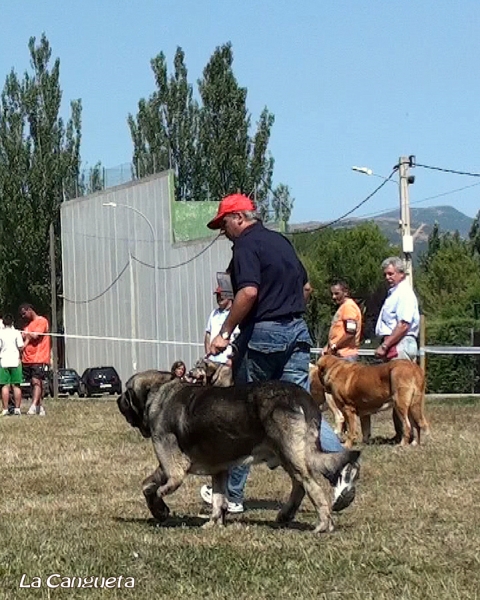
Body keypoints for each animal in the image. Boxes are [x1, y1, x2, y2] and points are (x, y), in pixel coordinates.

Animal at [117, 364, 360, 532]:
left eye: (126, 394)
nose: (118, 399)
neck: (159, 392)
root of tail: (303, 398)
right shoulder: (218, 470)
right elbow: (214, 497)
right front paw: (212, 522)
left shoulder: (172, 465)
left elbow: (161, 486)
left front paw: (161, 505)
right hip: (288, 455)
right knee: (299, 485)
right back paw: (286, 515)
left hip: (291, 454)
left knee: (312, 487)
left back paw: (323, 525)